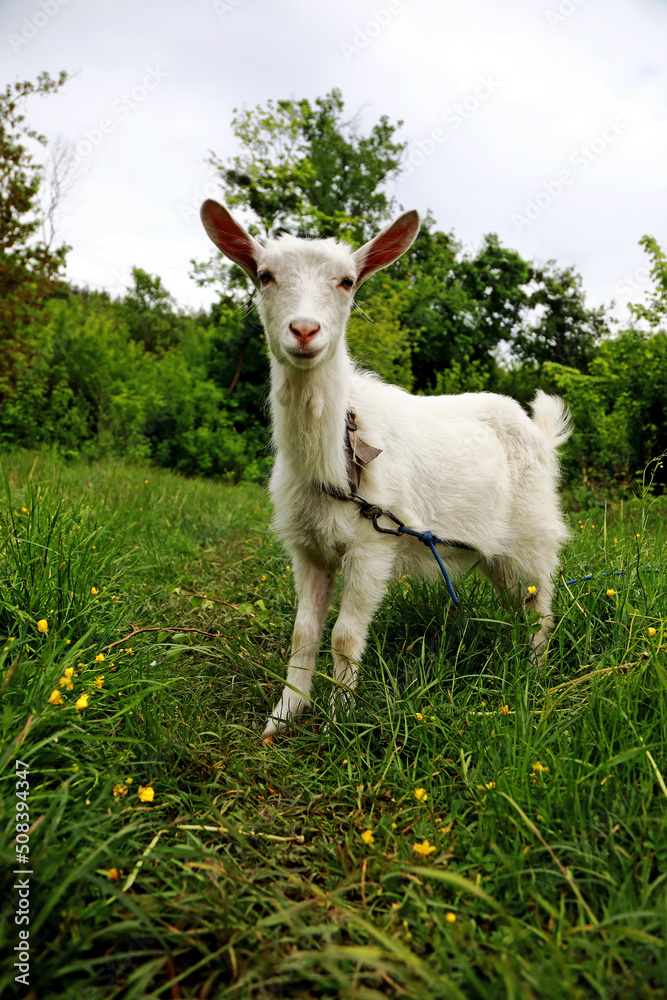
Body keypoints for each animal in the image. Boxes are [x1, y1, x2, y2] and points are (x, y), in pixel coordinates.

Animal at [201, 199, 572, 740]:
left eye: (347, 281)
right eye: (264, 275)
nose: (304, 331)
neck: (336, 461)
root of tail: (540, 433)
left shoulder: (373, 544)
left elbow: (344, 635)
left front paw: (339, 720)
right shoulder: (306, 547)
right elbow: (304, 632)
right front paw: (283, 715)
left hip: (534, 534)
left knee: (540, 607)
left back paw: (535, 674)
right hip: (493, 549)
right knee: (517, 605)